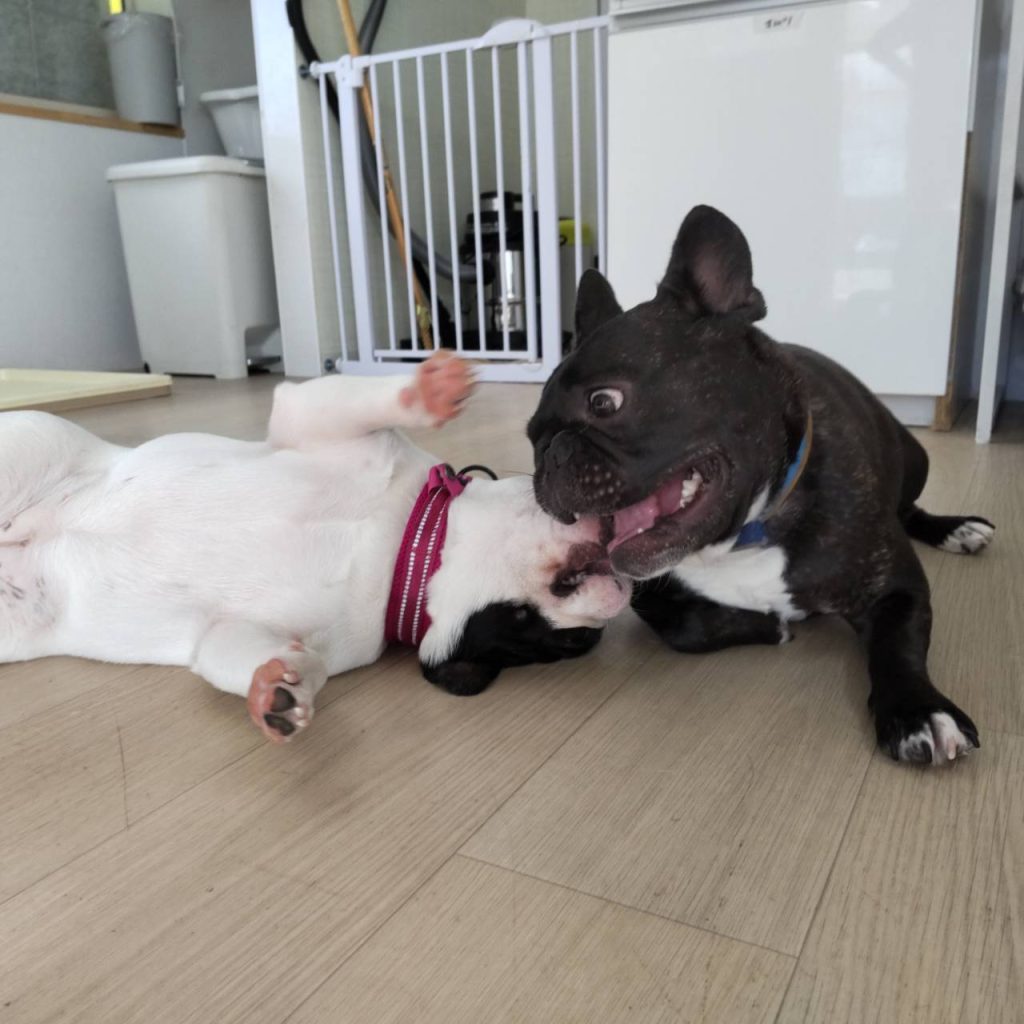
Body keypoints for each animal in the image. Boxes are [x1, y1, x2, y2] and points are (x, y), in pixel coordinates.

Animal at [0, 353, 629, 742]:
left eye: (567, 643)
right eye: (536, 628)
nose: (618, 594)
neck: (404, 553)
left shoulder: (241, 631)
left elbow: (269, 658)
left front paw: (278, 688)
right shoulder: (317, 426)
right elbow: (339, 399)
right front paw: (429, 389)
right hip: (33, 444)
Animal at [527, 205, 994, 766]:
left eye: (603, 402)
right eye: (530, 432)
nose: (548, 454)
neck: (746, 534)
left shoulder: (897, 588)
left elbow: (897, 645)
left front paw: (917, 709)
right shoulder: (654, 596)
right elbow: (684, 626)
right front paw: (772, 624)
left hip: (915, 458)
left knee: (910, 508)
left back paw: (956, 528)